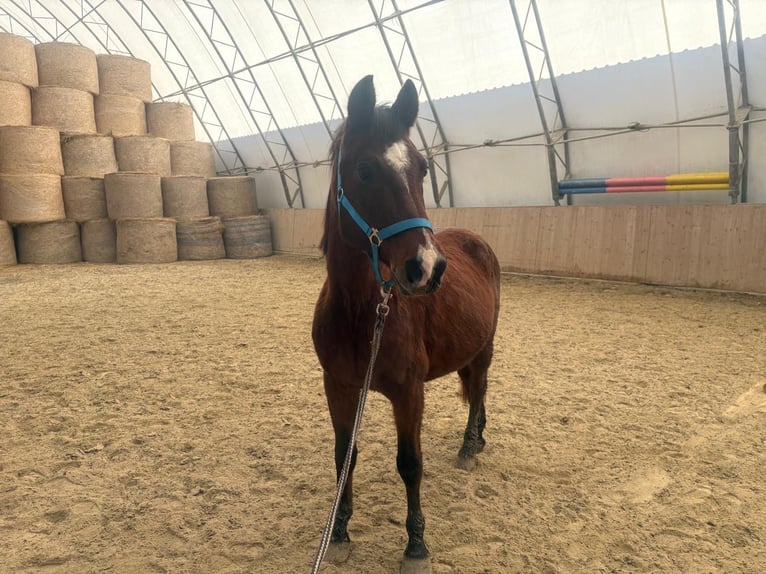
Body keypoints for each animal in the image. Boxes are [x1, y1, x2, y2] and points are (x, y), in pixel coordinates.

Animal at [312, 75, 500, 573]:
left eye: (422, 168)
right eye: (364, 170)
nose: (428, 268)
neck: (360, 313)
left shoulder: (408, 391)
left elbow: (410, 463)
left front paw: (416, 546)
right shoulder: (338, 385)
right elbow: (344, 456)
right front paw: (339, 532)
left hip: (486, 347)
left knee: (479, 388)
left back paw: (469, 447)